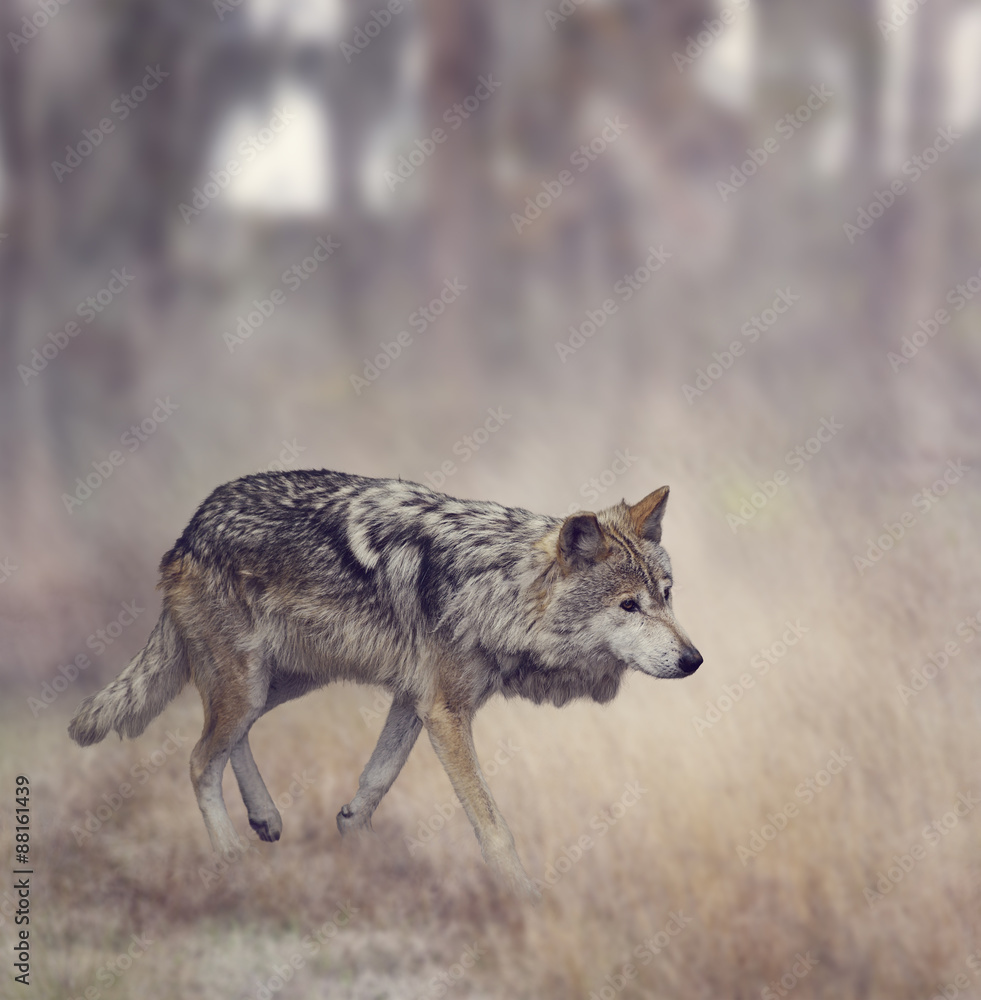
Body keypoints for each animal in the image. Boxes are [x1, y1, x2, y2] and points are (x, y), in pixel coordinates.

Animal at [68, 470, 701, 897]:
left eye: (667, 596)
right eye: (628, 606)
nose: (694, 660)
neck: (496, 588)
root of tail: (191, 528)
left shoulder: (413, 698)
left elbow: (376, 780)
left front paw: (360, 844)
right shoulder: (445, 711)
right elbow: (493, 825)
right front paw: (523, 897)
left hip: (280, 682)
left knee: (227, 739)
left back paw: (266, 818)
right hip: (251, 682)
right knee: (201, 757)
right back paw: (230, 857)